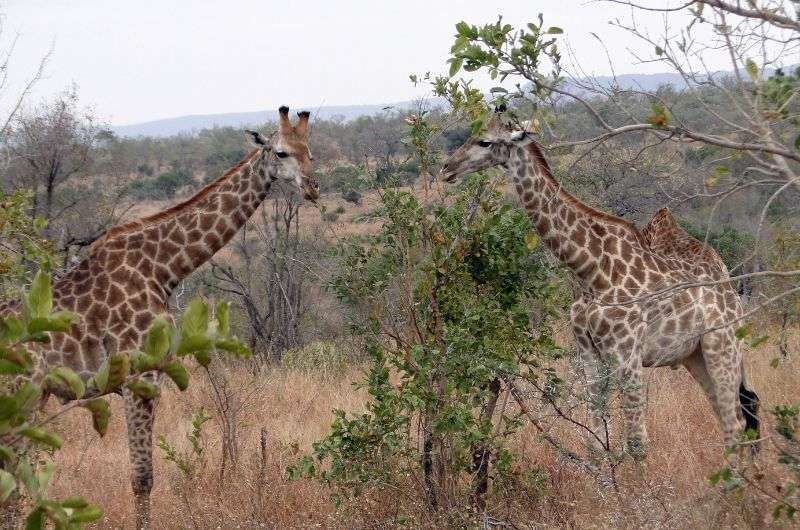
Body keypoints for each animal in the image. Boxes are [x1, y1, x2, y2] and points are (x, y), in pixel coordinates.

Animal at [0, 106, 318, 524]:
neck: (164, 267)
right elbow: (142, 478)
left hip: (33, 398)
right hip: (19, 395)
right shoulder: (139, 377)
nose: (312, 188)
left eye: (310, 150)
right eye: (281, 152)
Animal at [440, 108, 760, 462]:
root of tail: (734, 296)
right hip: (695, 355)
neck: (591, 270)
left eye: (485, 141)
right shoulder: (589, 355)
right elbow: (595, 440)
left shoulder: (627, 355)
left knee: (737, 422)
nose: (446, 169)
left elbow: (636, 442)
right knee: (729, 419)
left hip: (722, 346)